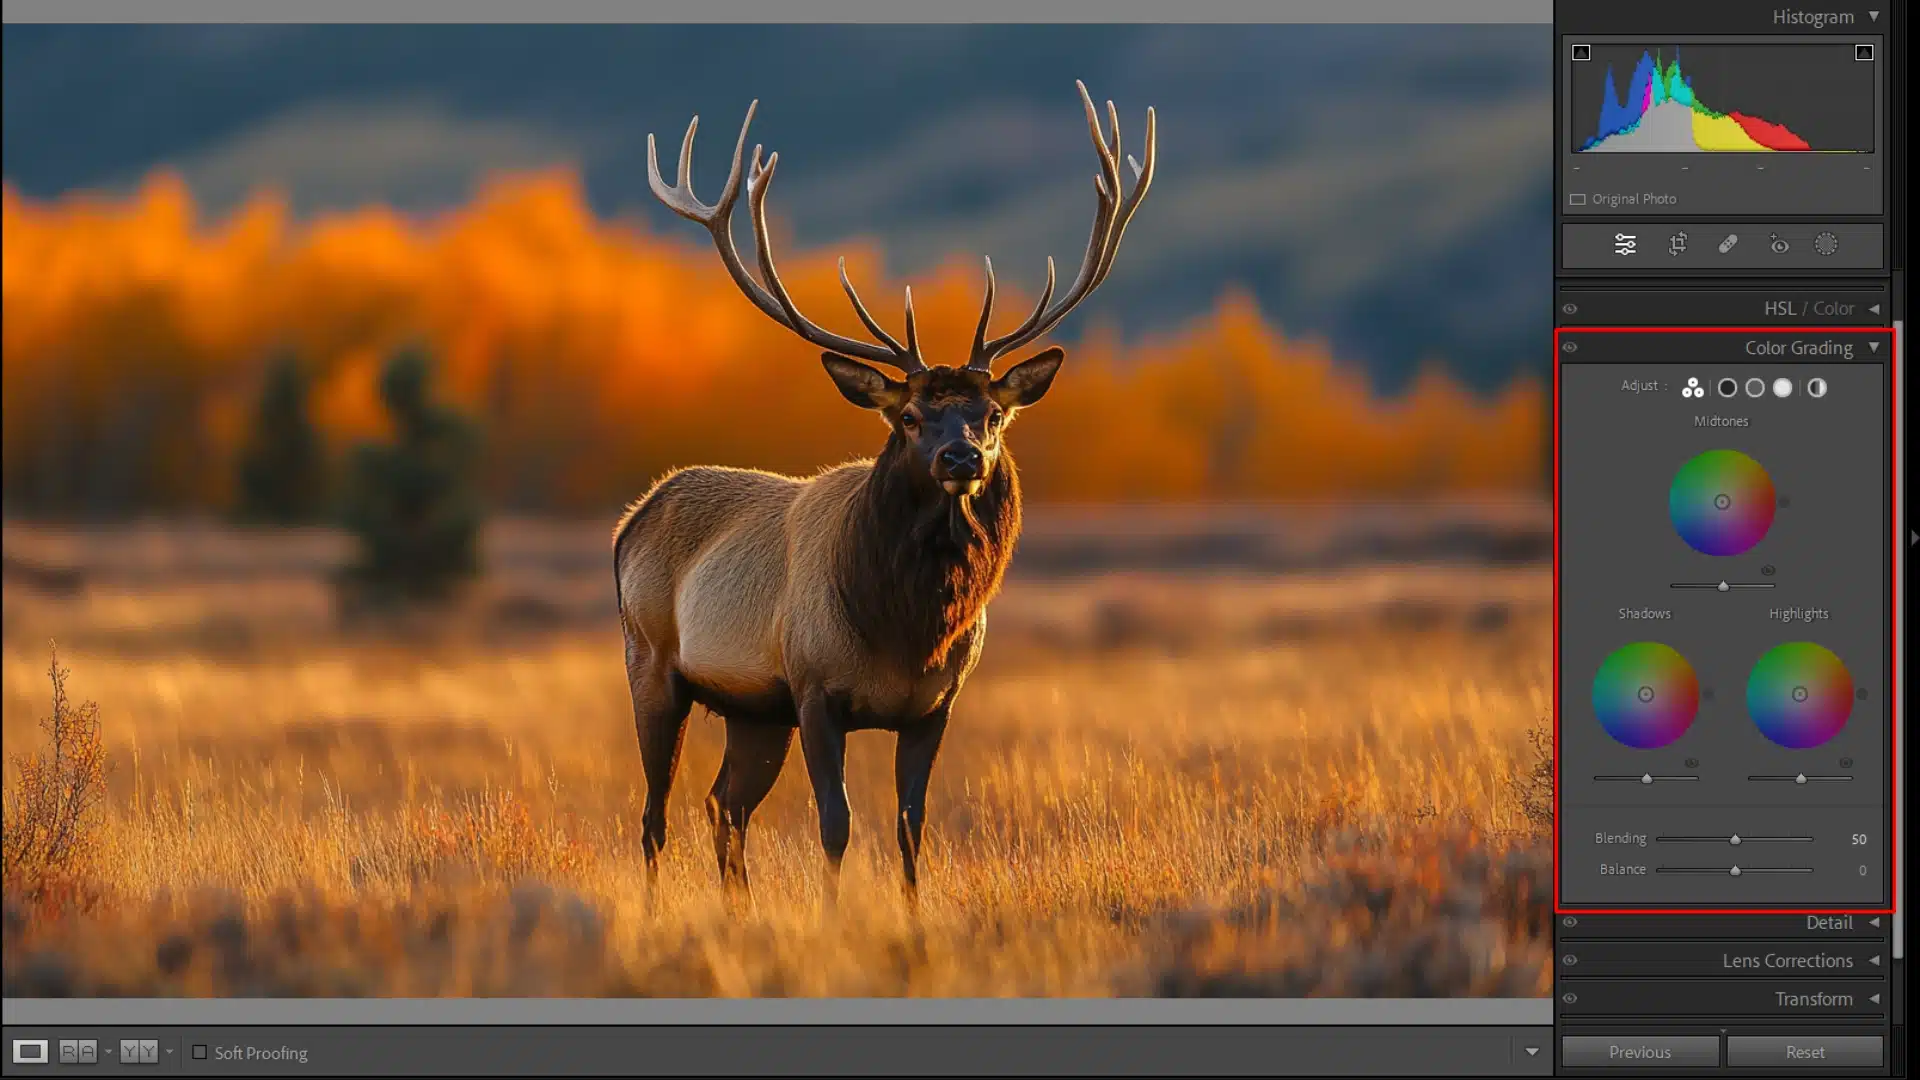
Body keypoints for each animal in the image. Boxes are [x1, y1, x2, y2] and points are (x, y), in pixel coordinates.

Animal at [614, 82, 1152, 899]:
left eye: (993, 413)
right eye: (909, 416)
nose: (963, 455)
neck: (906, 631)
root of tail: (632, 519)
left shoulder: (933, 705)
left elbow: (910, 827)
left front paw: (913, 913)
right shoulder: (814, 687)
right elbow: (836, 824)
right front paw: (836, 915)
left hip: (753, 709)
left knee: (722, 805)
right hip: (651, 661)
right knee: (654, 815)